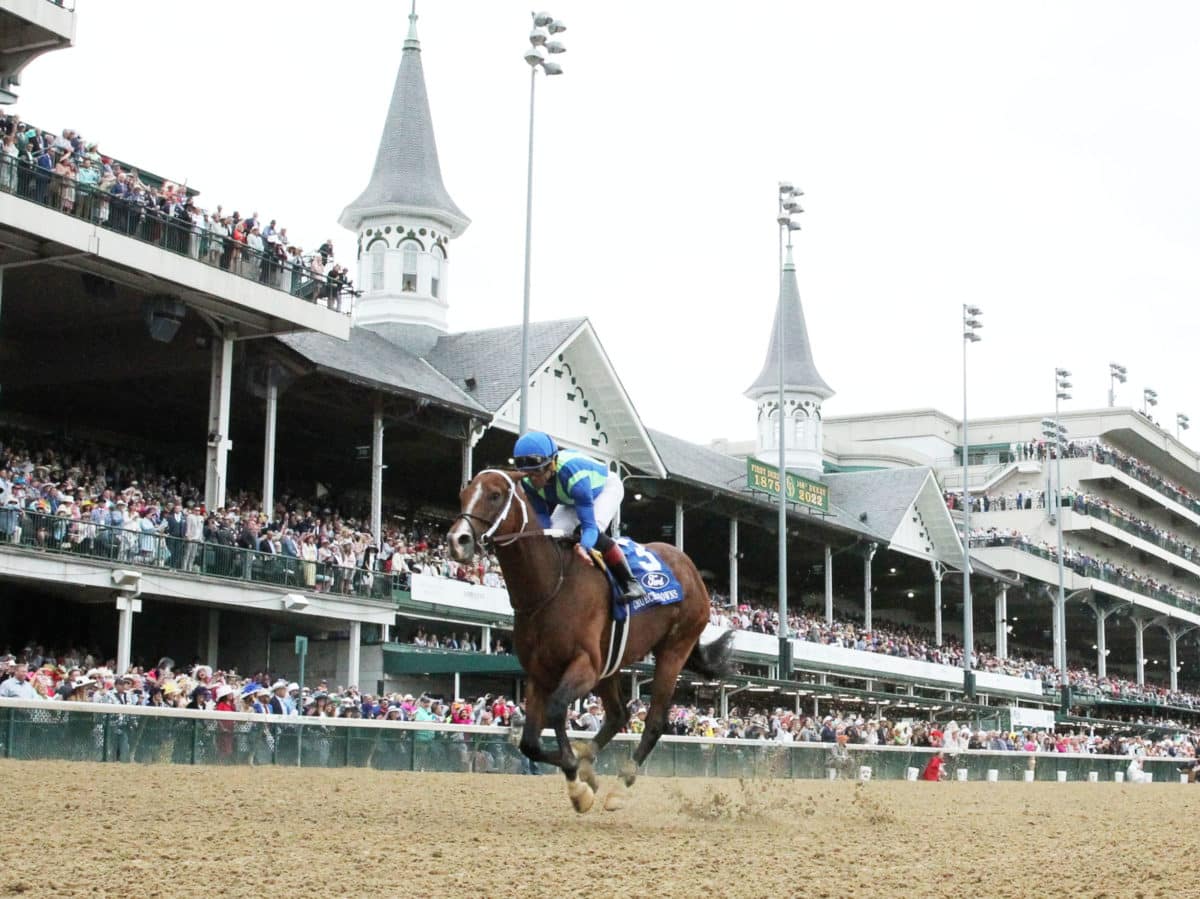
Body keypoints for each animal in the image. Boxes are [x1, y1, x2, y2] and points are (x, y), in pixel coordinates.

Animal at [448, 465, 734, 811]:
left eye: (494, 495)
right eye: (463, 493)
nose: (457, 541)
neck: (551, 585)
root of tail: (691, 570)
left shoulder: (584, 665)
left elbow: (558, 709)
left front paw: (578, 783)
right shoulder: (539, 673)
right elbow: (529, 743)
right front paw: (582, 773)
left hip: (674, 649)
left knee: (654, 722)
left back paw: (621, 784)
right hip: (611, 665)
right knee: (619, 714)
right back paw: (591, 760)